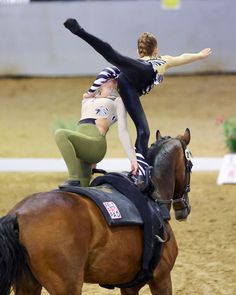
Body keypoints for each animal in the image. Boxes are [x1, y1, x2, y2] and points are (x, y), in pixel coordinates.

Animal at [0, 130, 192, 295]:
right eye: (190, 165)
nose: (184, 209)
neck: (153, 197)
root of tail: (18, 214)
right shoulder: (162, 279)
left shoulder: (129, 286)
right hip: (67, 286)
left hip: (28, 284)